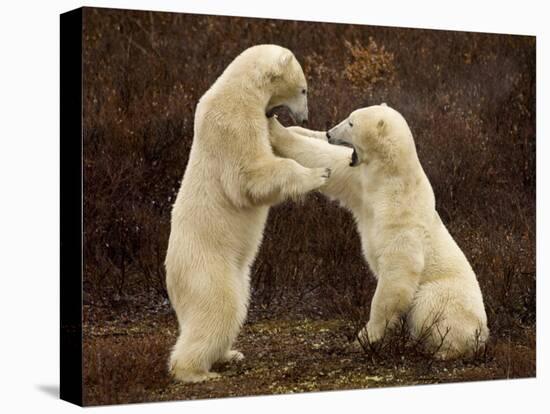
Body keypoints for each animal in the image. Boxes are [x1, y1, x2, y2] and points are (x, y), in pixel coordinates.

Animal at [166, 43, 332, 384]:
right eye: (304, 89)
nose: (307, 114)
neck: (240, 90)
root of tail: (170, 276)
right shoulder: (232, 123)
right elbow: (249, 175)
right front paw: (319, 172)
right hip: (207, 269)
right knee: (218, 309)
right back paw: (196, 372)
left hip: (241, 277)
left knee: (238, 308)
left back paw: (230, 354)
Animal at [270, 104, 490, 360]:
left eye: (351, 123)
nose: (329, 132)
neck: (390, 178)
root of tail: (483, 336)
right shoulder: (361, 183)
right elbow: (327, 159)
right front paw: (281, 126)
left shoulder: (400, 216)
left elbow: (397, 274)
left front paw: (364, 339)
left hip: (449, 297)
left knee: (428, 304)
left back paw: (436, 348)